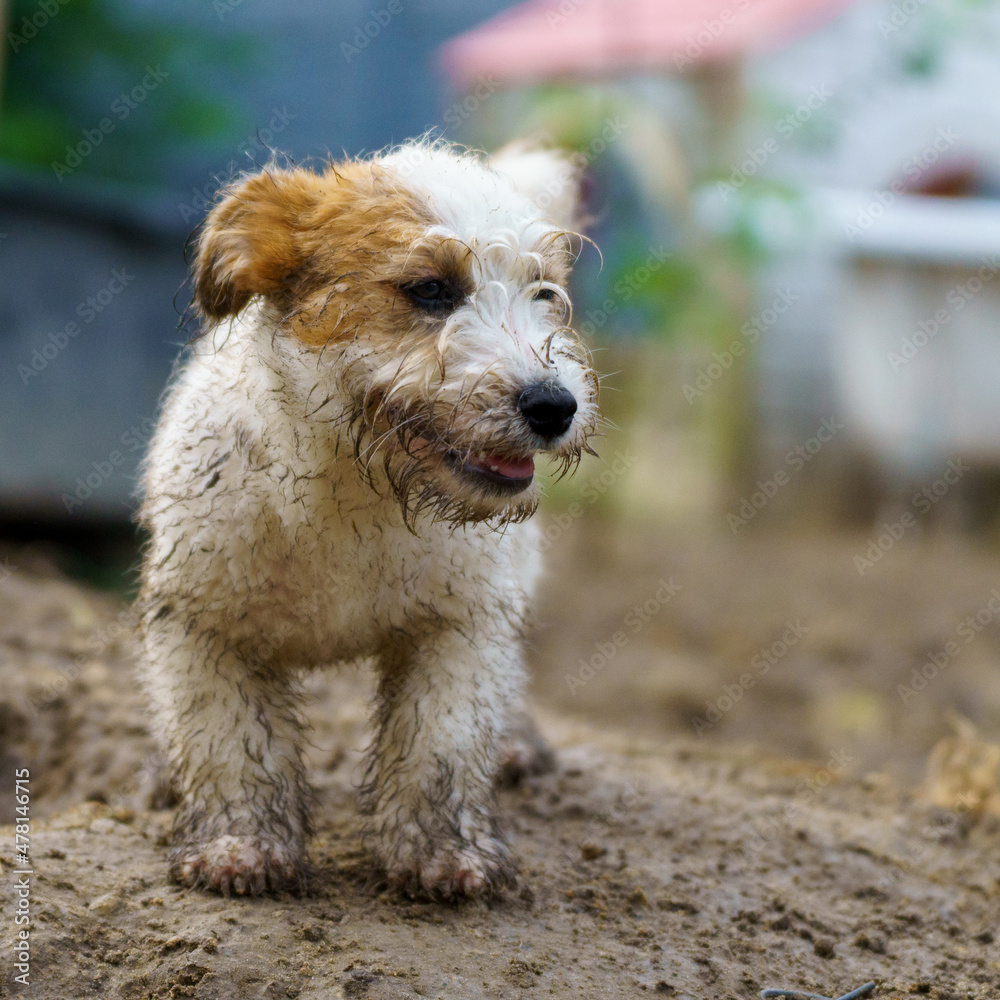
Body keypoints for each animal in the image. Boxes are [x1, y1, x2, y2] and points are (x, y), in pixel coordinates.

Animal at [136, 141, 596, 900]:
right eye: (431, 290)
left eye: (544, 294)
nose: (554, 406)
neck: (355, 486)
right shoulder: (203, 624)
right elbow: (229, 740)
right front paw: (240, 843)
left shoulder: (460, 626)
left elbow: (441, 743)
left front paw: (440, 852)